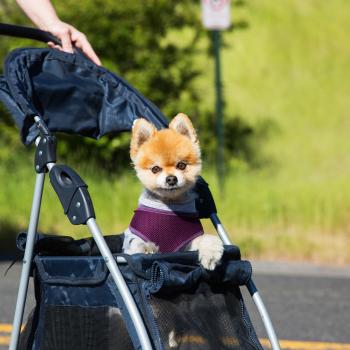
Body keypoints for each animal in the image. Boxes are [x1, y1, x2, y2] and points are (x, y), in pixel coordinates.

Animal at [121, 113, 223, 270]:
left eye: (181, 165)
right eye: (155, 169)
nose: (171, 179)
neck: (170, 205)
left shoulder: (188, 243)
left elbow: (206, 238)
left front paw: (210, 254)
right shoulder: (131, 239)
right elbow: (137, 244)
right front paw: (147, 248)